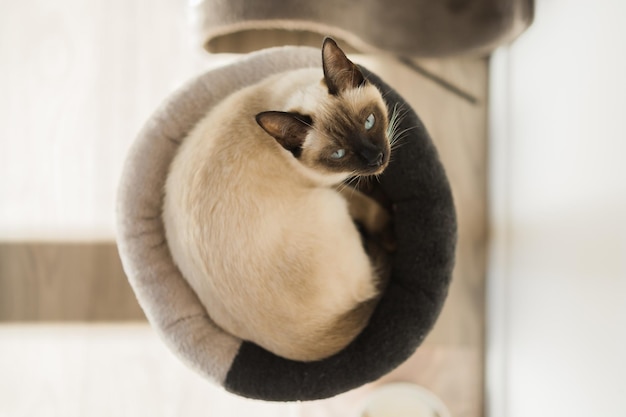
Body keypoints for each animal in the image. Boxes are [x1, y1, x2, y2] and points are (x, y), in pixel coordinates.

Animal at [163, 37, 392, 360]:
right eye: (338, 154)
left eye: (370, 122)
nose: (376, 159)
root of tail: (309, 341)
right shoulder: (332, 187)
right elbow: (367, 204)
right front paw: (386, 217)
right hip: (329, 205)